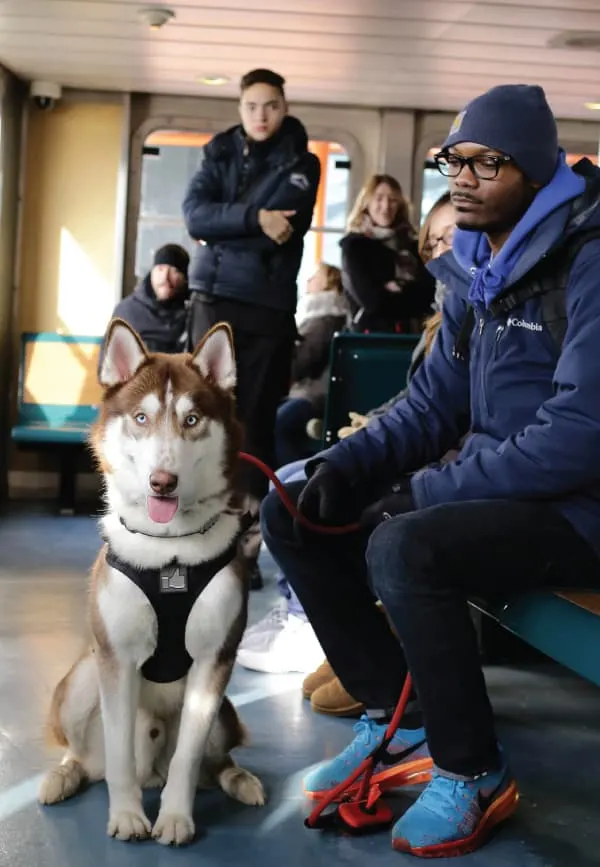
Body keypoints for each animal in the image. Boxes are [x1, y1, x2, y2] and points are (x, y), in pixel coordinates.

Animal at [37, 320, 262, 848]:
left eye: (193, 419)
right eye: (141, 417)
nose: (163, 482)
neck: (169, 553)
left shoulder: (213, 662)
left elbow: (188, 759)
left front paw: (175, 817)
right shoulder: (116, 660)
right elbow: (120, 755)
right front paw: (127, 816)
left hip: (224, 714)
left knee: (213, 761)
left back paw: (240, 780)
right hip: (81, 681)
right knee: (89, 759)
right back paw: (64, 776)